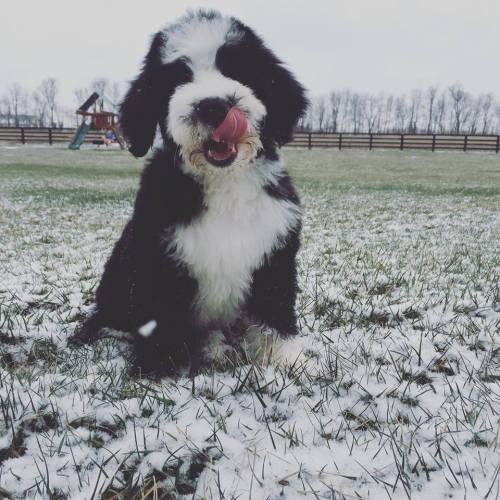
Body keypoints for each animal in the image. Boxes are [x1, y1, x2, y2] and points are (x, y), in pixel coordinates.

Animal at [74, 8, 308, 376]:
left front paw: (284, 357)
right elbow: (158, 317)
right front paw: (157, 367)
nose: (213, 106)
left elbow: (275, 303)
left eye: (236, 69)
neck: (224, 181)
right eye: (177, 78)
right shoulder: (155, 255)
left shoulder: (276, 250)